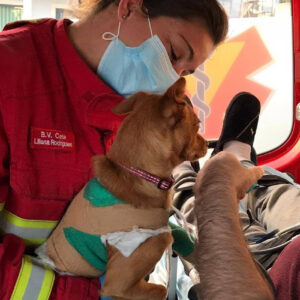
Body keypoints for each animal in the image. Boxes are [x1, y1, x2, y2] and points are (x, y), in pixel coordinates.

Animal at [41, 78, 206, 300]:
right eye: (197, 125)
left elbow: (183, 237)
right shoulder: (118, 284)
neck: (137, 174)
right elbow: (161, 289)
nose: (206, 142)